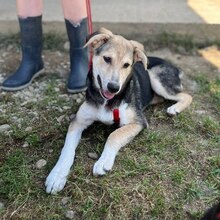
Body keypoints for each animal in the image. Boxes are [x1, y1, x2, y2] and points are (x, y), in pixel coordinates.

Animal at [45, 27, 192, 194]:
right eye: (107, 58)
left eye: (126, 65)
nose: (113, 88)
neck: (107, 101)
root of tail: (173, 66)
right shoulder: (78, 121)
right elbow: (67, 148)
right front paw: (57, 175)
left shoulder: (138, 122)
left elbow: (114, 135)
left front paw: (103, 162)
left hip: (156, 78)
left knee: (187, 95)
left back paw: (175, 108)